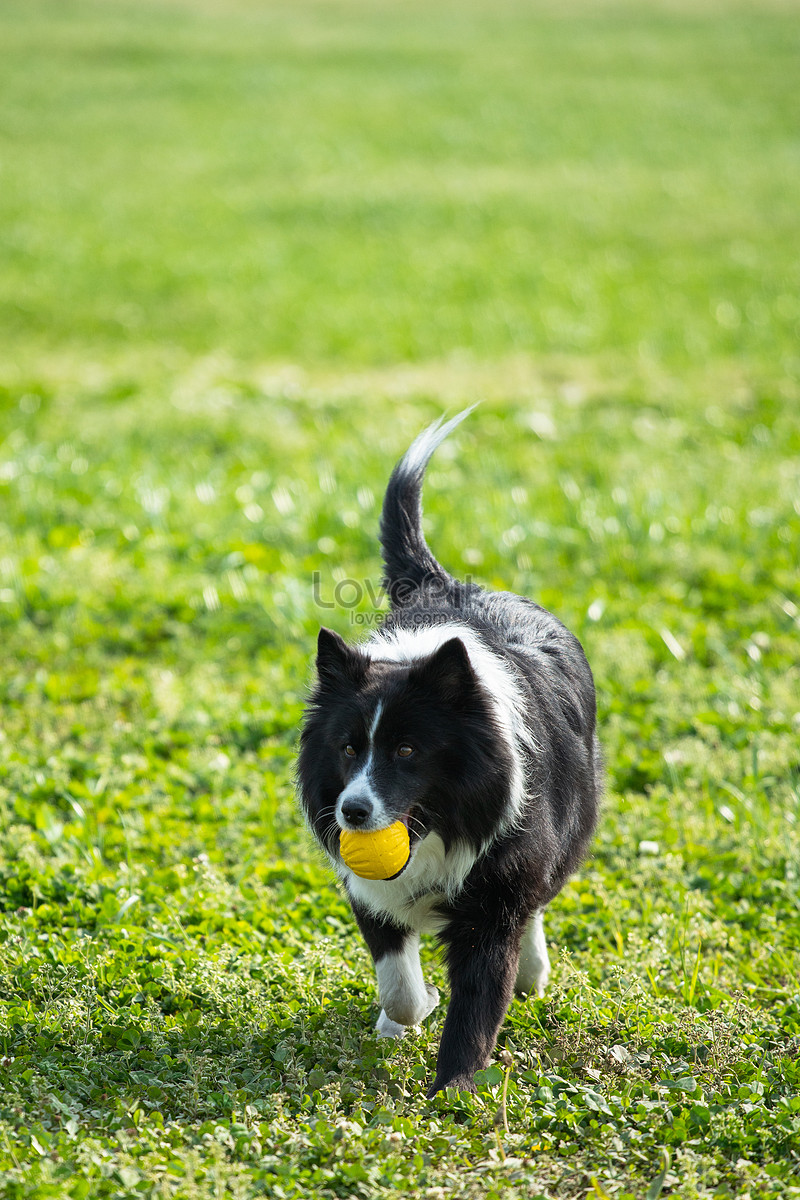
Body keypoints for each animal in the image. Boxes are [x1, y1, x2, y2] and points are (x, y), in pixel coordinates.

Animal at [298, 408, 599, 1094]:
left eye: (409, 750)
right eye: (348, 748)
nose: (353, 812)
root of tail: (444, 582)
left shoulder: (496, 894)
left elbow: (481, 993)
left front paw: (456, 1088)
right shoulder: (370, 890)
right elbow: (399, 980)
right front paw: (406, 1016)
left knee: (540, 901)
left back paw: (533, 971)